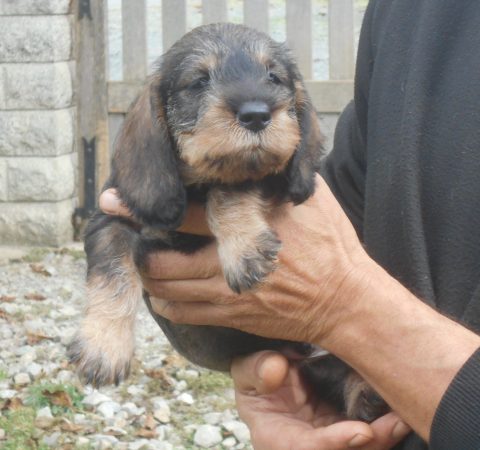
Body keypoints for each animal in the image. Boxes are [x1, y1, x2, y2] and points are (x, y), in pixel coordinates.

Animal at [68, 22, 390, 422]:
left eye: (273, 77)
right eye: (198, 81)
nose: (256, 114)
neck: (193, 189)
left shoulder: (267, 177)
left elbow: (230, 188)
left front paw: (243, 248)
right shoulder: (111, 218)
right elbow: (112, 272)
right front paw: (103, 345)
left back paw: (366, 391)